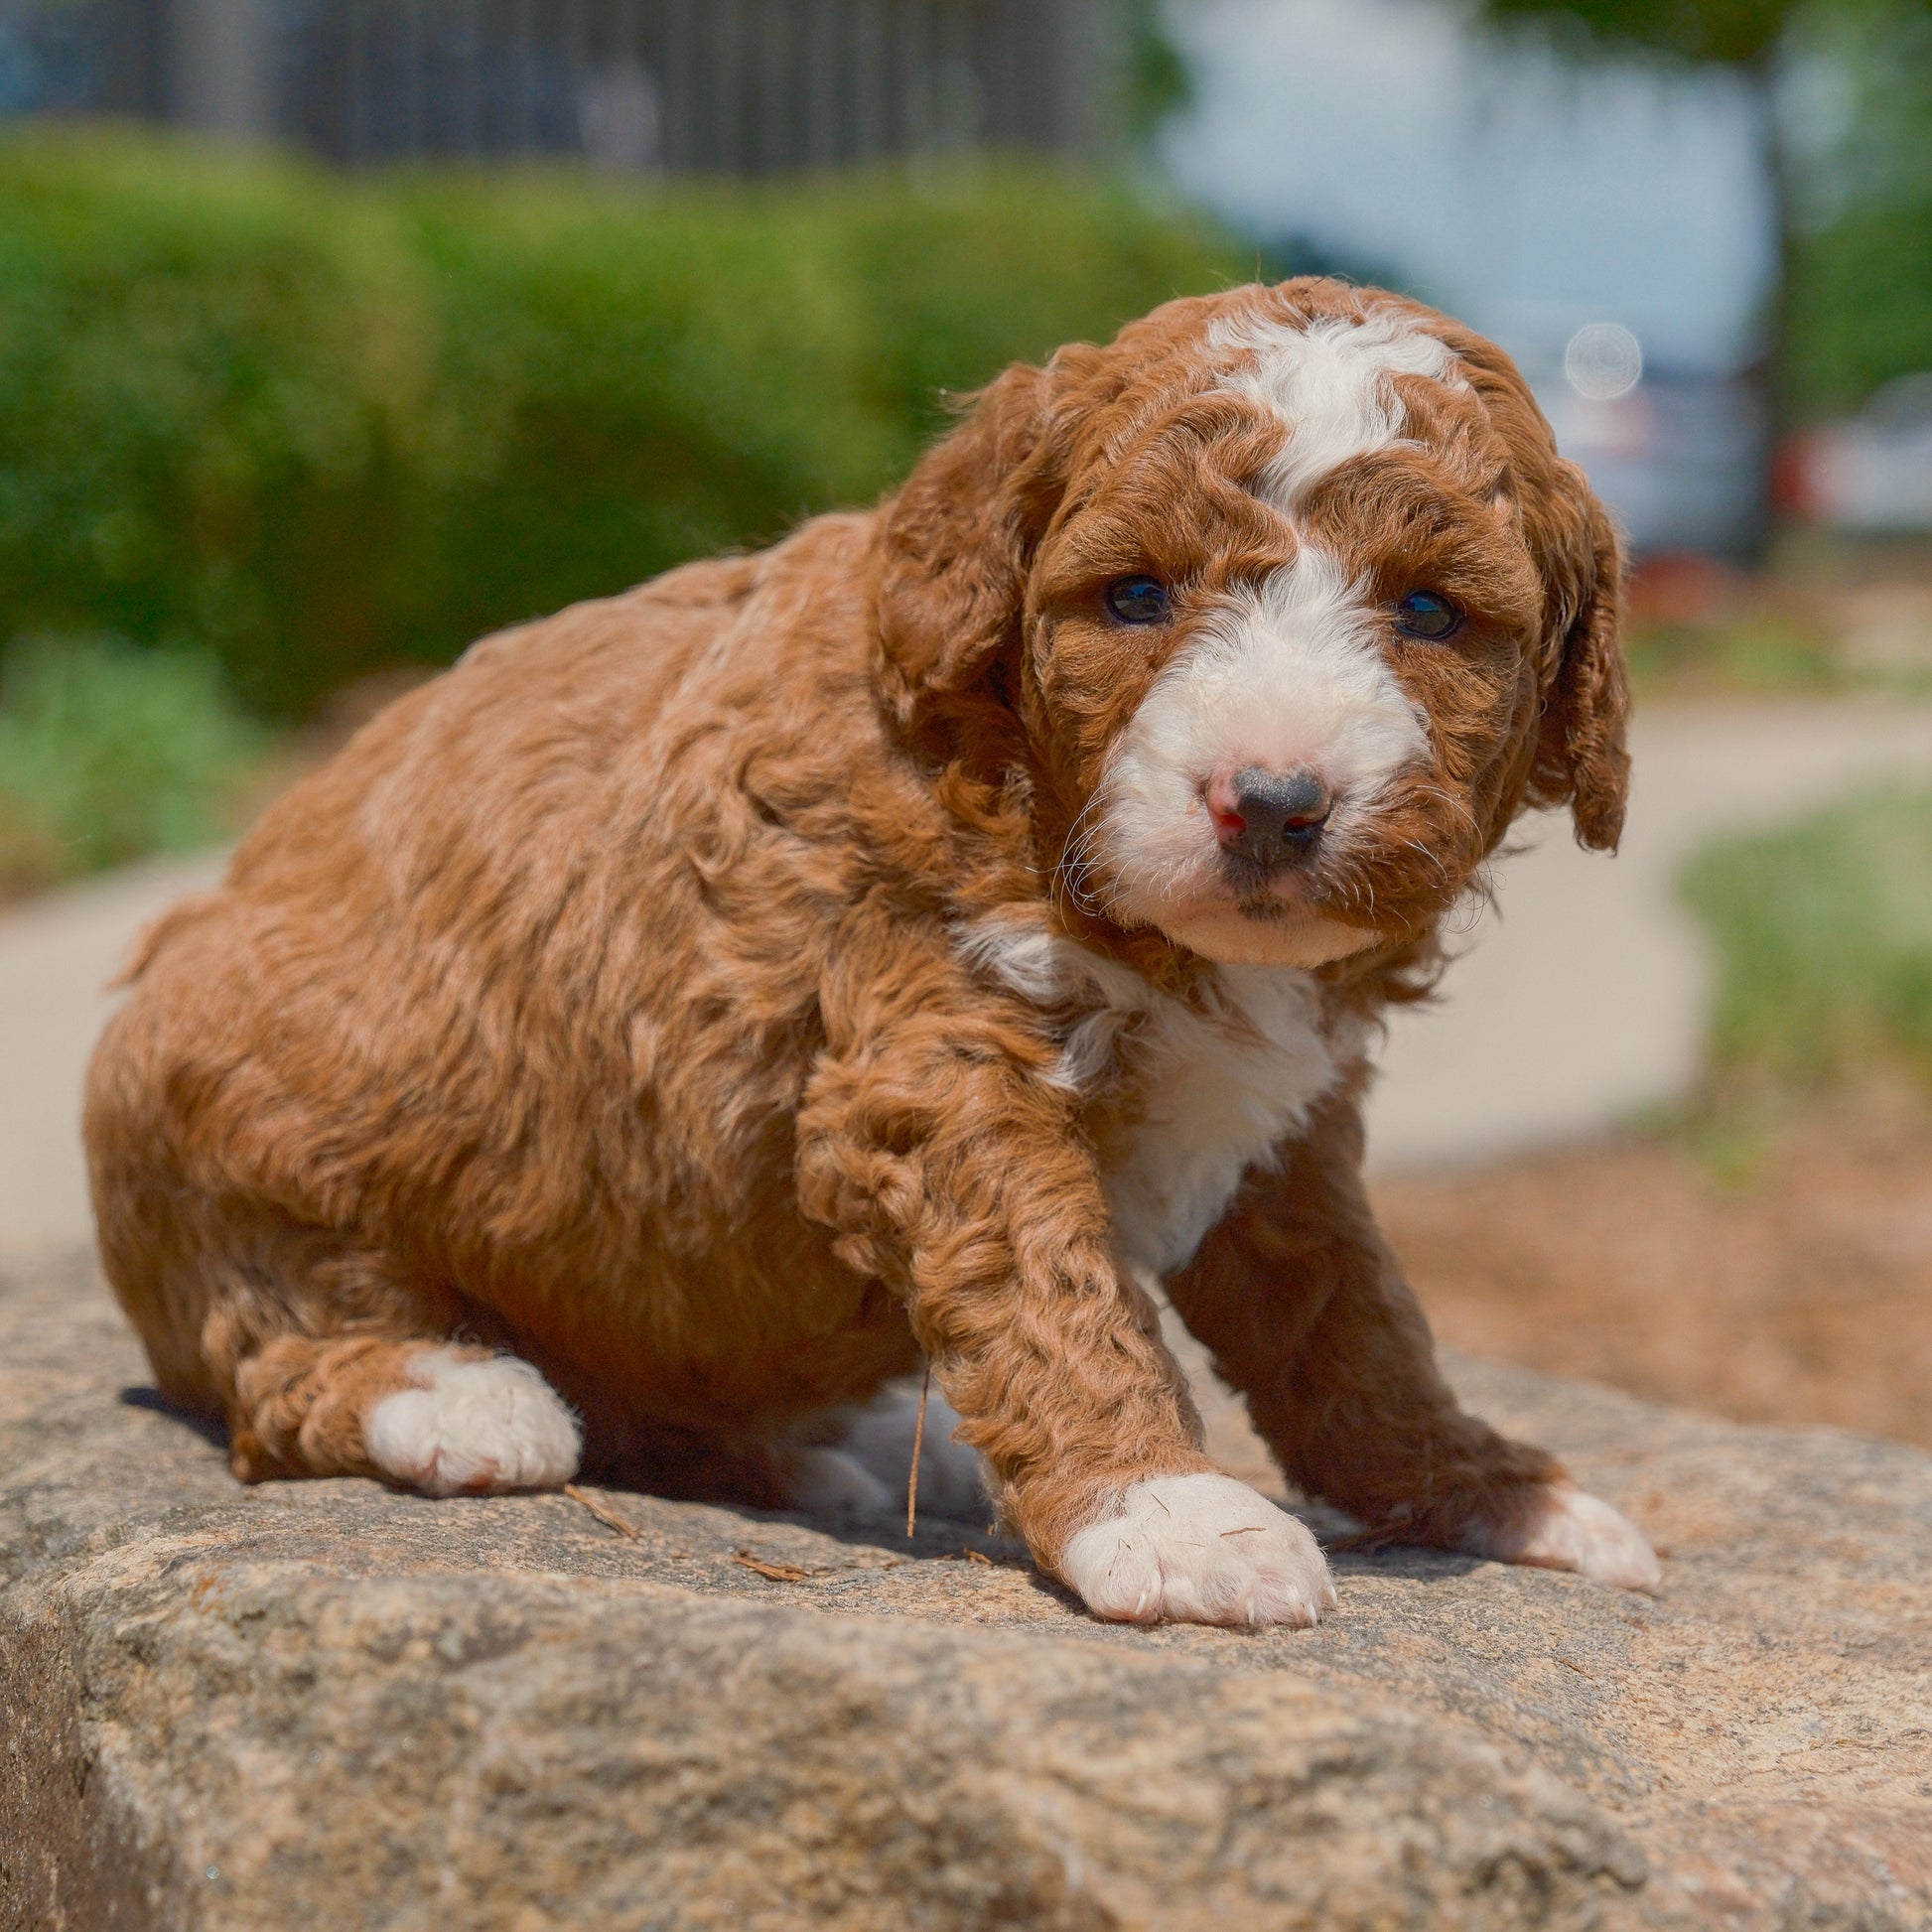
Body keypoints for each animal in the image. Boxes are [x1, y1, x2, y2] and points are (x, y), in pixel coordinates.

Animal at [86, 280, 1661, 1622]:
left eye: (1427, 610)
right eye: (1136, 595)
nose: (1268, 800)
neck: (1034, 789)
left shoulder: (1281, 1133)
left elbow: (1354, 1321)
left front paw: (1491, 1491)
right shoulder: (926, 1046)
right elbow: (1044, 1280)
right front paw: (1167, 1512)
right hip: (236, 1119)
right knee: (275, 1342)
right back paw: (462, 1396)